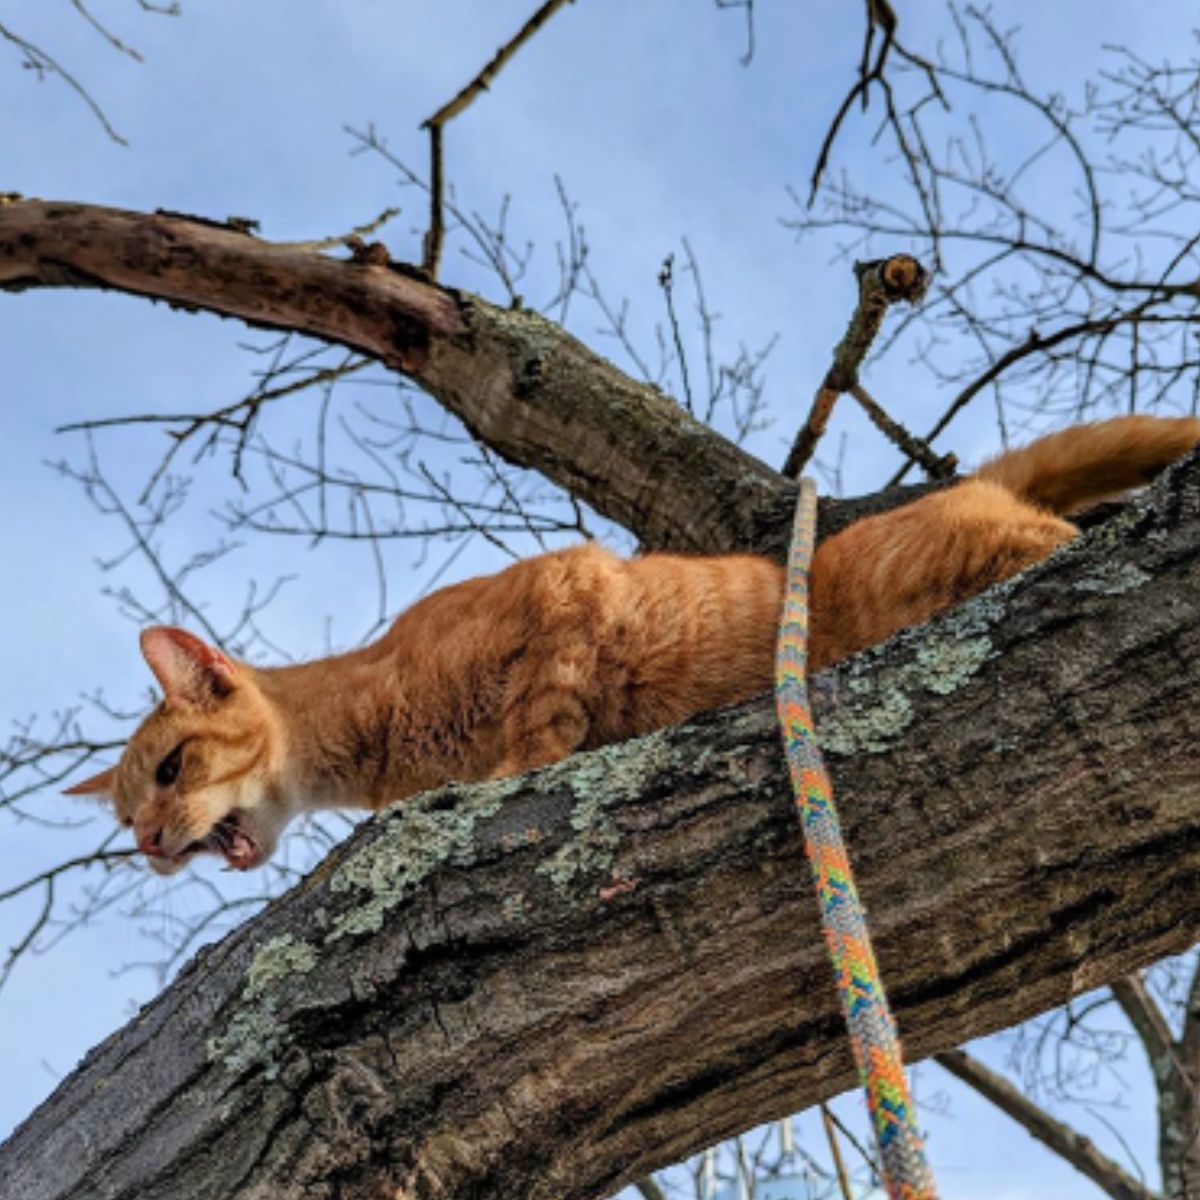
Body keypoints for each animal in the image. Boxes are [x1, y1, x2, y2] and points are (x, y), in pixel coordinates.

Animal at [68, 417, 1200, 878]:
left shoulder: (564, 589)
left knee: (1055, 539)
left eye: (169, 770)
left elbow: (543, 721)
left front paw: (511, 768)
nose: (152, 846)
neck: (383, 743)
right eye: (124, 819)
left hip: (963, 555)